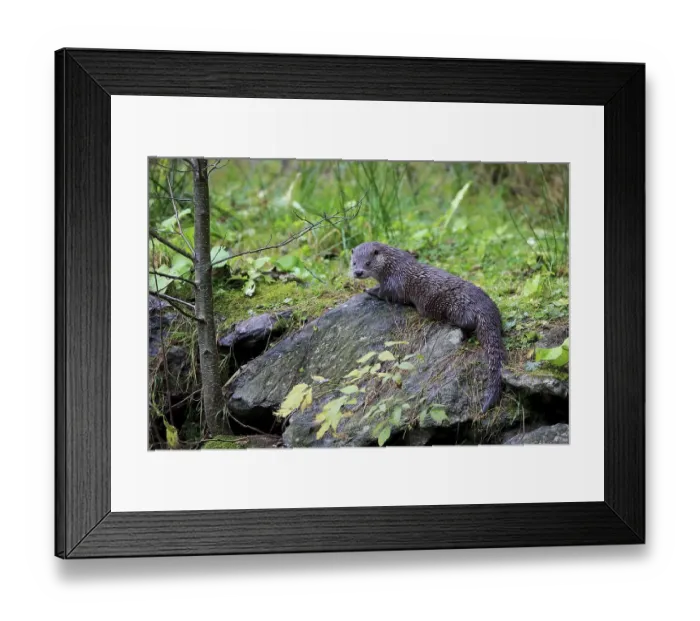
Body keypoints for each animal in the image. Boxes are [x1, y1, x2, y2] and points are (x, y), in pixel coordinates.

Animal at [350, 241, 505, 413]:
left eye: (367, 263)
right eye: (354, 262)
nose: (358, 272)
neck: (394, 266)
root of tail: (487, 308)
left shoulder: (393, 285)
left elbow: (384, 294)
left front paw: (369, 290)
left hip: (459, 308)